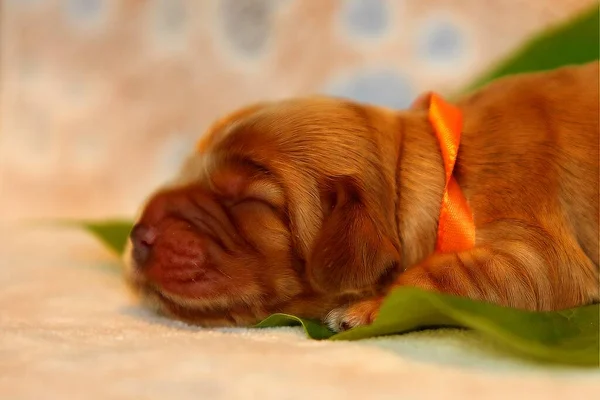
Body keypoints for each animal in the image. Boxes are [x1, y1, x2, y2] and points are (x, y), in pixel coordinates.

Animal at [124, 61, 596, 332]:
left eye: (250, 202)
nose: (138, 234)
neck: (444, 171)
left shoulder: (536, 253)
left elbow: (451, 272)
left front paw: (372, 308)